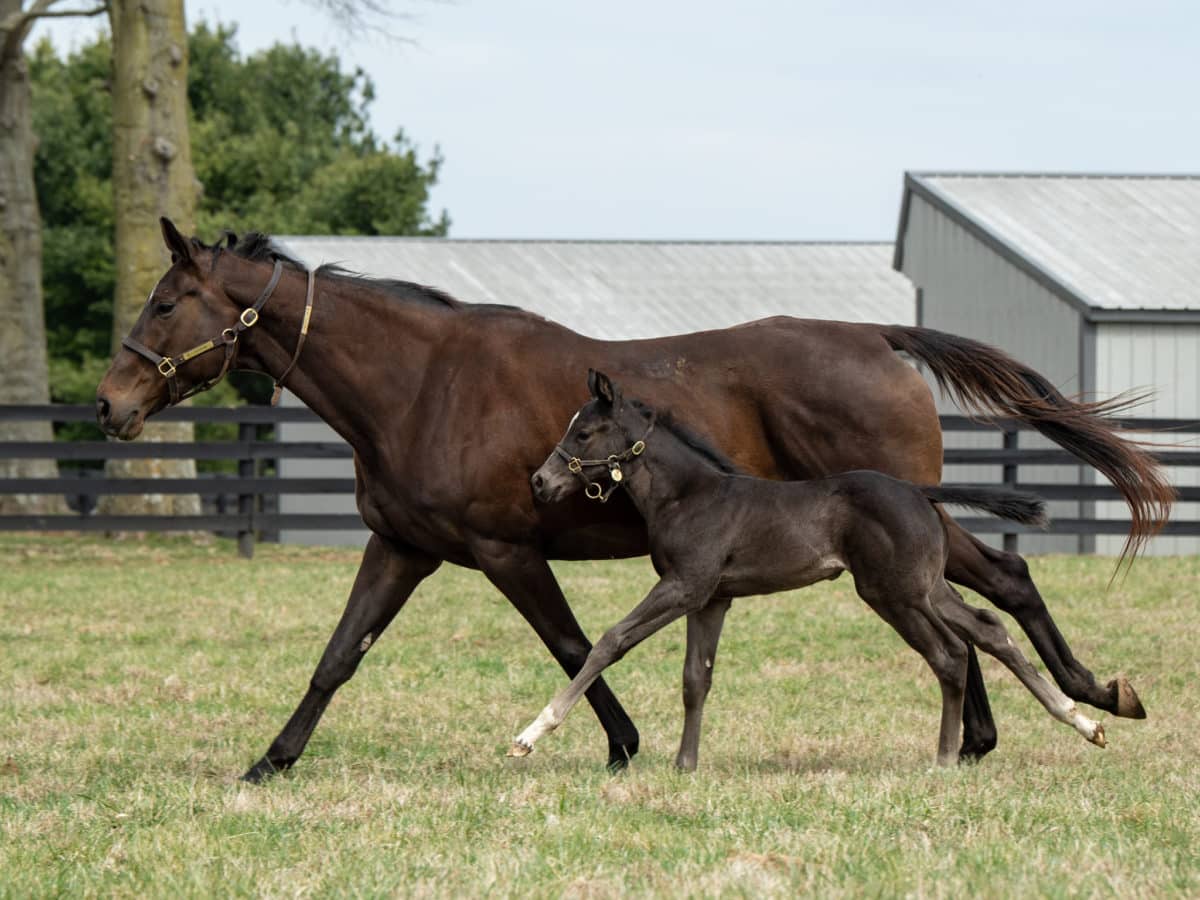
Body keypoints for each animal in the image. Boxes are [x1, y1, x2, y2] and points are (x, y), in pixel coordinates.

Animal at [511, 372, 1108, 768]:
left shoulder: (683, 586)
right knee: (986, 629)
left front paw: (532, 731)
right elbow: (695, 679)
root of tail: (918, 491)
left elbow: (611, 640)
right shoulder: (712, 598)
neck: (690, 495)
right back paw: (1082, 720)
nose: (540, 482)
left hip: (893, 593)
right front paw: (685, 766)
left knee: (950, 653)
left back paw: (944, 759)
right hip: (925, 587)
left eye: (584, 433)